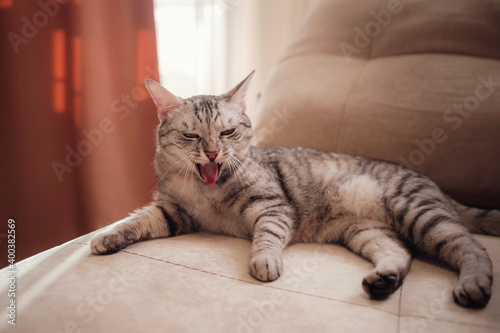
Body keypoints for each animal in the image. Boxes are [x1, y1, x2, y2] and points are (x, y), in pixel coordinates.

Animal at [90, 71, 500, 308]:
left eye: (227, 132)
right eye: (191, 136)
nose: (212, 153)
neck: (208, 191)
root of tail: (437, 188)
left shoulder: (272, 206)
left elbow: (267, 236)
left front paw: (264, 261)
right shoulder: (174, 210)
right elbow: (137, 221)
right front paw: (106, 237)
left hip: (417, 212)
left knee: (473, 248)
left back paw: (473, 284)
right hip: (368, 231)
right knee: (401, 254)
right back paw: (383, 280)